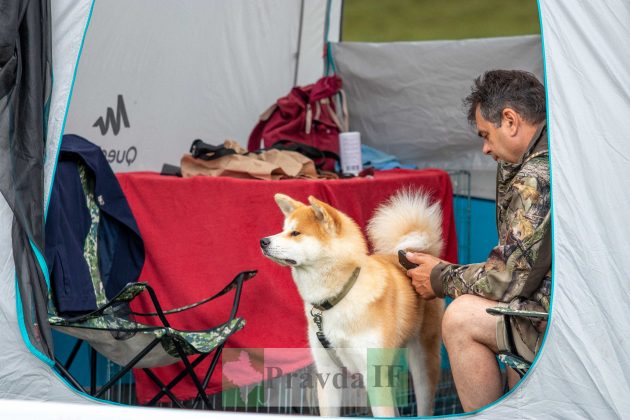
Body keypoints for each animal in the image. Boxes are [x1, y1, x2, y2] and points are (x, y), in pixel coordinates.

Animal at [260, 190, 446, 416]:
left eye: (295, 233)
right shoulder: (327, 371)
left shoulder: (373, 373)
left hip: (422, 363)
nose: (263, 241)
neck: (339, 296)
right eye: (283, 230)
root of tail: (416, 253)